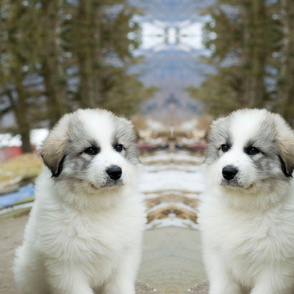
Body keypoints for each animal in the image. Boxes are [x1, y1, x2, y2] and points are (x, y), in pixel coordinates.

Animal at [13, 108, 146, 294]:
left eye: (119, 147)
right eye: (90, 150)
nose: (115, 172)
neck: (98, 205)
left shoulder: (124, 259)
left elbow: (120, 287)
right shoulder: (67, 267)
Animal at [200, 108, 294, 294]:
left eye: (252, 150)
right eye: (225, 147)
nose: (228, 172)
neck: (245, 206)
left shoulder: (276, 270)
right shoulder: (219, 261)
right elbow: (223, 287)